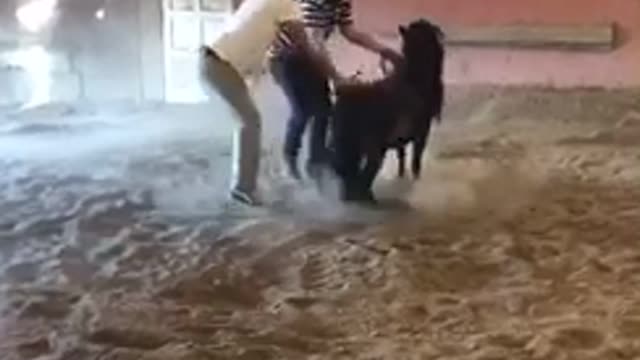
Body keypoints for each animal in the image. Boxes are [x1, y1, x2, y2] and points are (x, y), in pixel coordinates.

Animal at [330, 18, 444, 202]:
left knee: (348, 169)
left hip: (346, 141)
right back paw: (367, 198)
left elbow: (402, 154)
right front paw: (414, 177)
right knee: (364, 172)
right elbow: (416, 157)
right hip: (367, 144)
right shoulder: (422, 129)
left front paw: (401, 174)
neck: (415, 75)